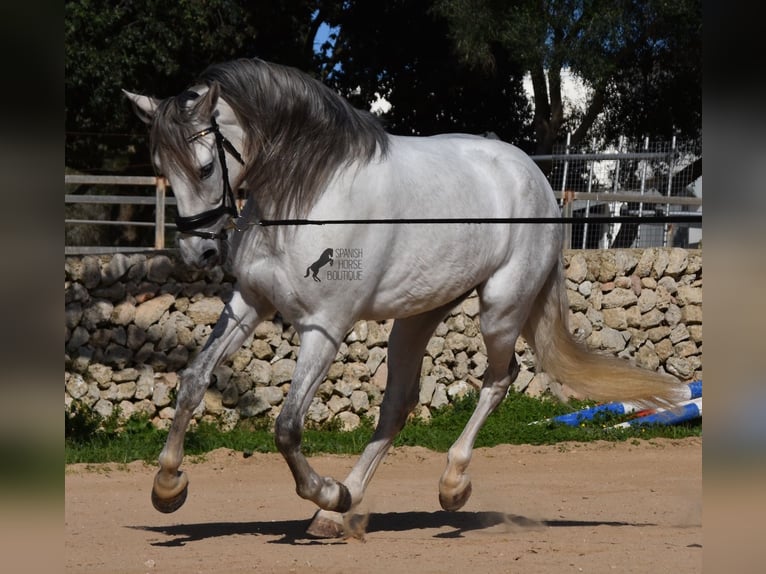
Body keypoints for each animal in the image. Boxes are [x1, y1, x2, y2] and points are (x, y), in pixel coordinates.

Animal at [126, 58, 688, 540]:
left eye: (204, 167)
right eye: (160, 166)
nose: (198, 252)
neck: (310, 194)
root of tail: (533, 175)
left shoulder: (325, 326)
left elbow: (286, 427)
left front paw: (326, 491)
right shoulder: (250, 303)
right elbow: (193, 381)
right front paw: (168, 487)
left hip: (500, 309)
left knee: (499, 379)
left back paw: (448, 486)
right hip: (417, 316)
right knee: (399, 403)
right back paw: (341, 510)